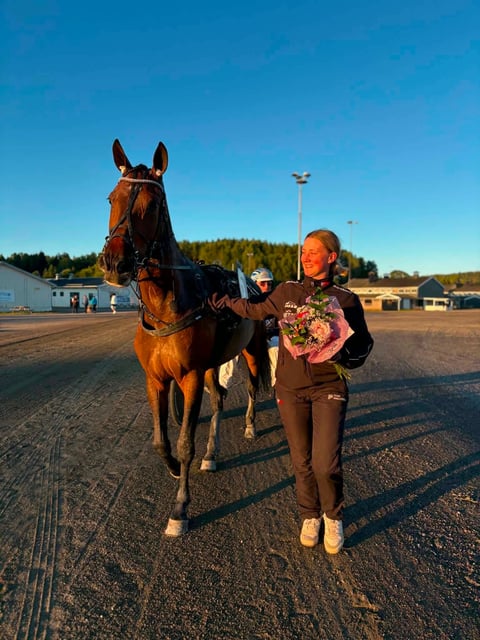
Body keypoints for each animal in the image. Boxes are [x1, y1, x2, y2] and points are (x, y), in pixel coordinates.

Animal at [98, 139, 271, 536]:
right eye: (112, 197)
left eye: (153, 204)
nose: (115, 263)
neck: (166, 305)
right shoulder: (157, 378)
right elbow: (161, 440)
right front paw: (176, 467)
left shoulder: (189, 376)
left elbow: (185, 440)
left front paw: (180, 507)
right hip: (212, 363)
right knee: (220, 397)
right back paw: (212, 455)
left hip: (252, 350)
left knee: (252, 387)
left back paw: (249, 426)